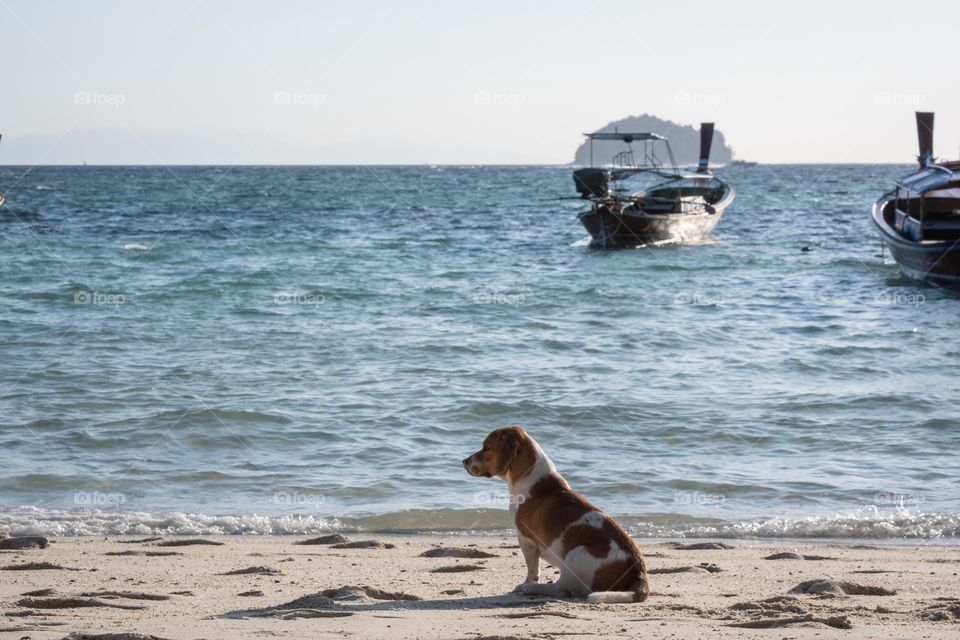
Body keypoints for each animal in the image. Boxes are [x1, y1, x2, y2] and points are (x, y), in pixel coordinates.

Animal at [462, 428, 648, 604]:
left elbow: (532, 569)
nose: (464, 461)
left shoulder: (525, 540)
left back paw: (533, 588)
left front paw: (526, 583)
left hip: (574, 555)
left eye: (486, 448)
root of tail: (638, 570)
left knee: (561, 589)